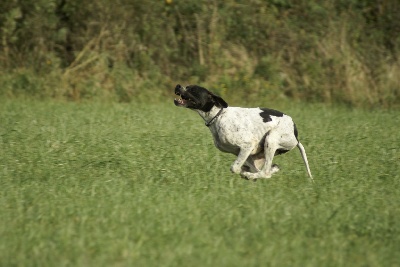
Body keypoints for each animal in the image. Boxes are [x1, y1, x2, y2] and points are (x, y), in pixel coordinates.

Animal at [174, 85, 312, 181]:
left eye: (193, 89)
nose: (178, 85)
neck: (219, 115)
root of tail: (296, 135)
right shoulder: (244, 153)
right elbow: (245, 167)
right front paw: (246, 172)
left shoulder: (247, 145)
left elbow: (234, 168)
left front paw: (245, 173)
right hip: (261, 152)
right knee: (264, 170)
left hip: (271, 139)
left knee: (265, 172)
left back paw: (252, 175)